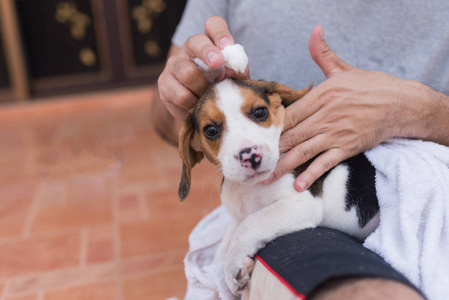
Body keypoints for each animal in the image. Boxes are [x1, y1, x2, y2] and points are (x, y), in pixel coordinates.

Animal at [178, 78, 378, 296]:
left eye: (260, 112)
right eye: (211, 130)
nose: (250, 156)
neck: (248, 188)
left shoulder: (301, 203)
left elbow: (251, 222)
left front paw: (233, 265)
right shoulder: (237, 215)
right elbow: (224, 246)